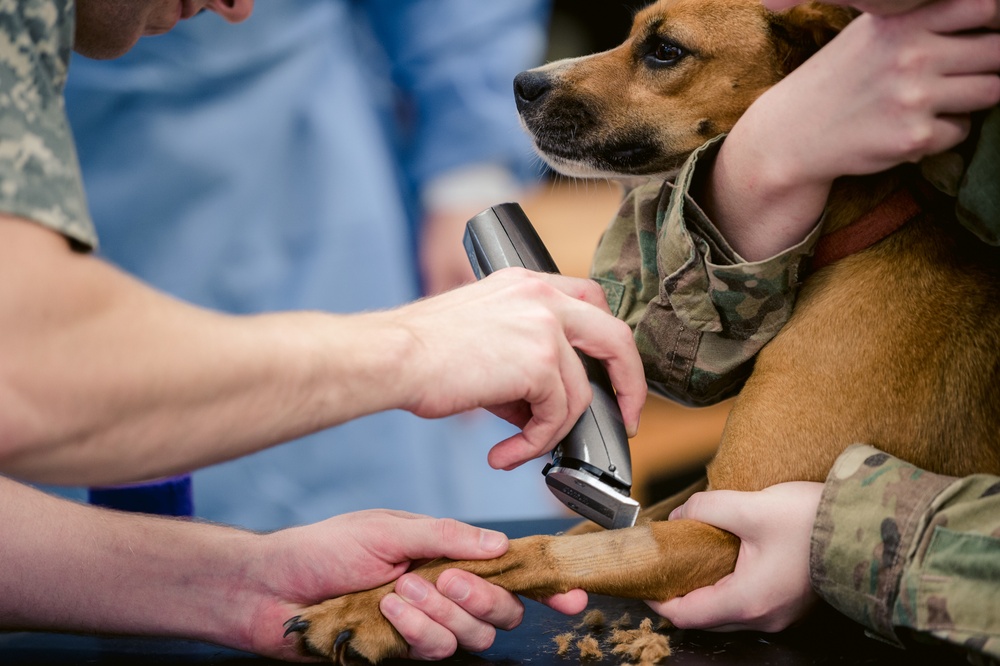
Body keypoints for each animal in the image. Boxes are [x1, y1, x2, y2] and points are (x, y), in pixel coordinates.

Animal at [286, 1, 1000, 660]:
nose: (522, 82)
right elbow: (556, 536)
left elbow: (531, 549)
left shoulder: (725, 535)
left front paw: (376, 607)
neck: (863, 235)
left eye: (664, 50)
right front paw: (375, 592)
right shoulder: (688, 499)